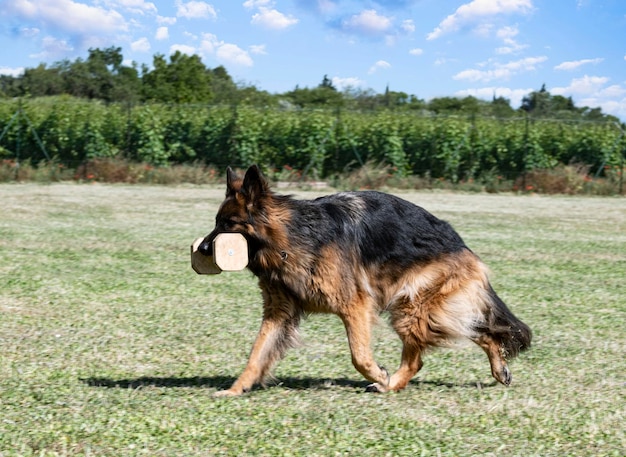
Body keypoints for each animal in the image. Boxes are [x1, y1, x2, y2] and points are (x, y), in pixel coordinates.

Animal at [197, 165, 528, 396]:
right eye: (216, 223)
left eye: (228, 225)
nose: (200, 250)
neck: (289, 239)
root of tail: (462, 245)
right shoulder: (279, 312)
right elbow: (256, 355)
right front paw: (235, 389)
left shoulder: (354, 306)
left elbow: (359, 356)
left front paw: (379, 374)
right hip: (423, 310)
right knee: (478, 332)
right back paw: (497, 369)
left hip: (412, 309)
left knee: (427, 354)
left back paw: (390, 384)